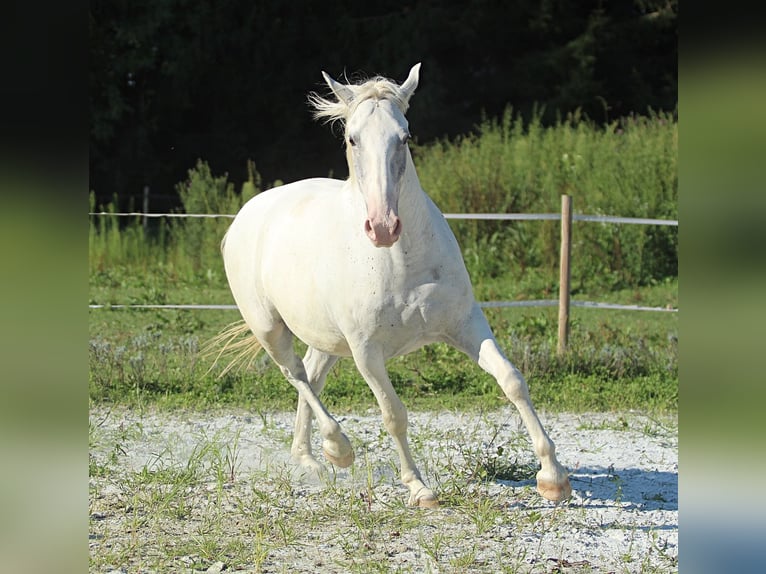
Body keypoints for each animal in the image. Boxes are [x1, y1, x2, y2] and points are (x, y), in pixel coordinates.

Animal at [220, 63, 568, 508]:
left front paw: (553, 478)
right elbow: (393, 413)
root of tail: (247, 213)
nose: (383, 227)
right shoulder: (367, 352)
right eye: (352, 138)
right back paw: (338, 449)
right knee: (295, 374)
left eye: (404, 136)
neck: (400, 261)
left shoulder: (466, 325)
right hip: (270, 328)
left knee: (311, 376)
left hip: (326, 338)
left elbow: (512, 381)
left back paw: (312, 459)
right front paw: (419, 489)